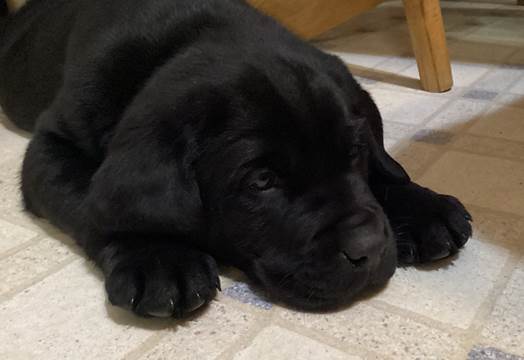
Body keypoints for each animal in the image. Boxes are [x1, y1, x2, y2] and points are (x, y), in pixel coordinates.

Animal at [0, 0, 472, 316]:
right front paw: (157, 255)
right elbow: (93, 203)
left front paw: (421, 206)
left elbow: (385, 168)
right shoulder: (50, 145)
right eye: (262, 181)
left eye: (354, 152)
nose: (369, 248)